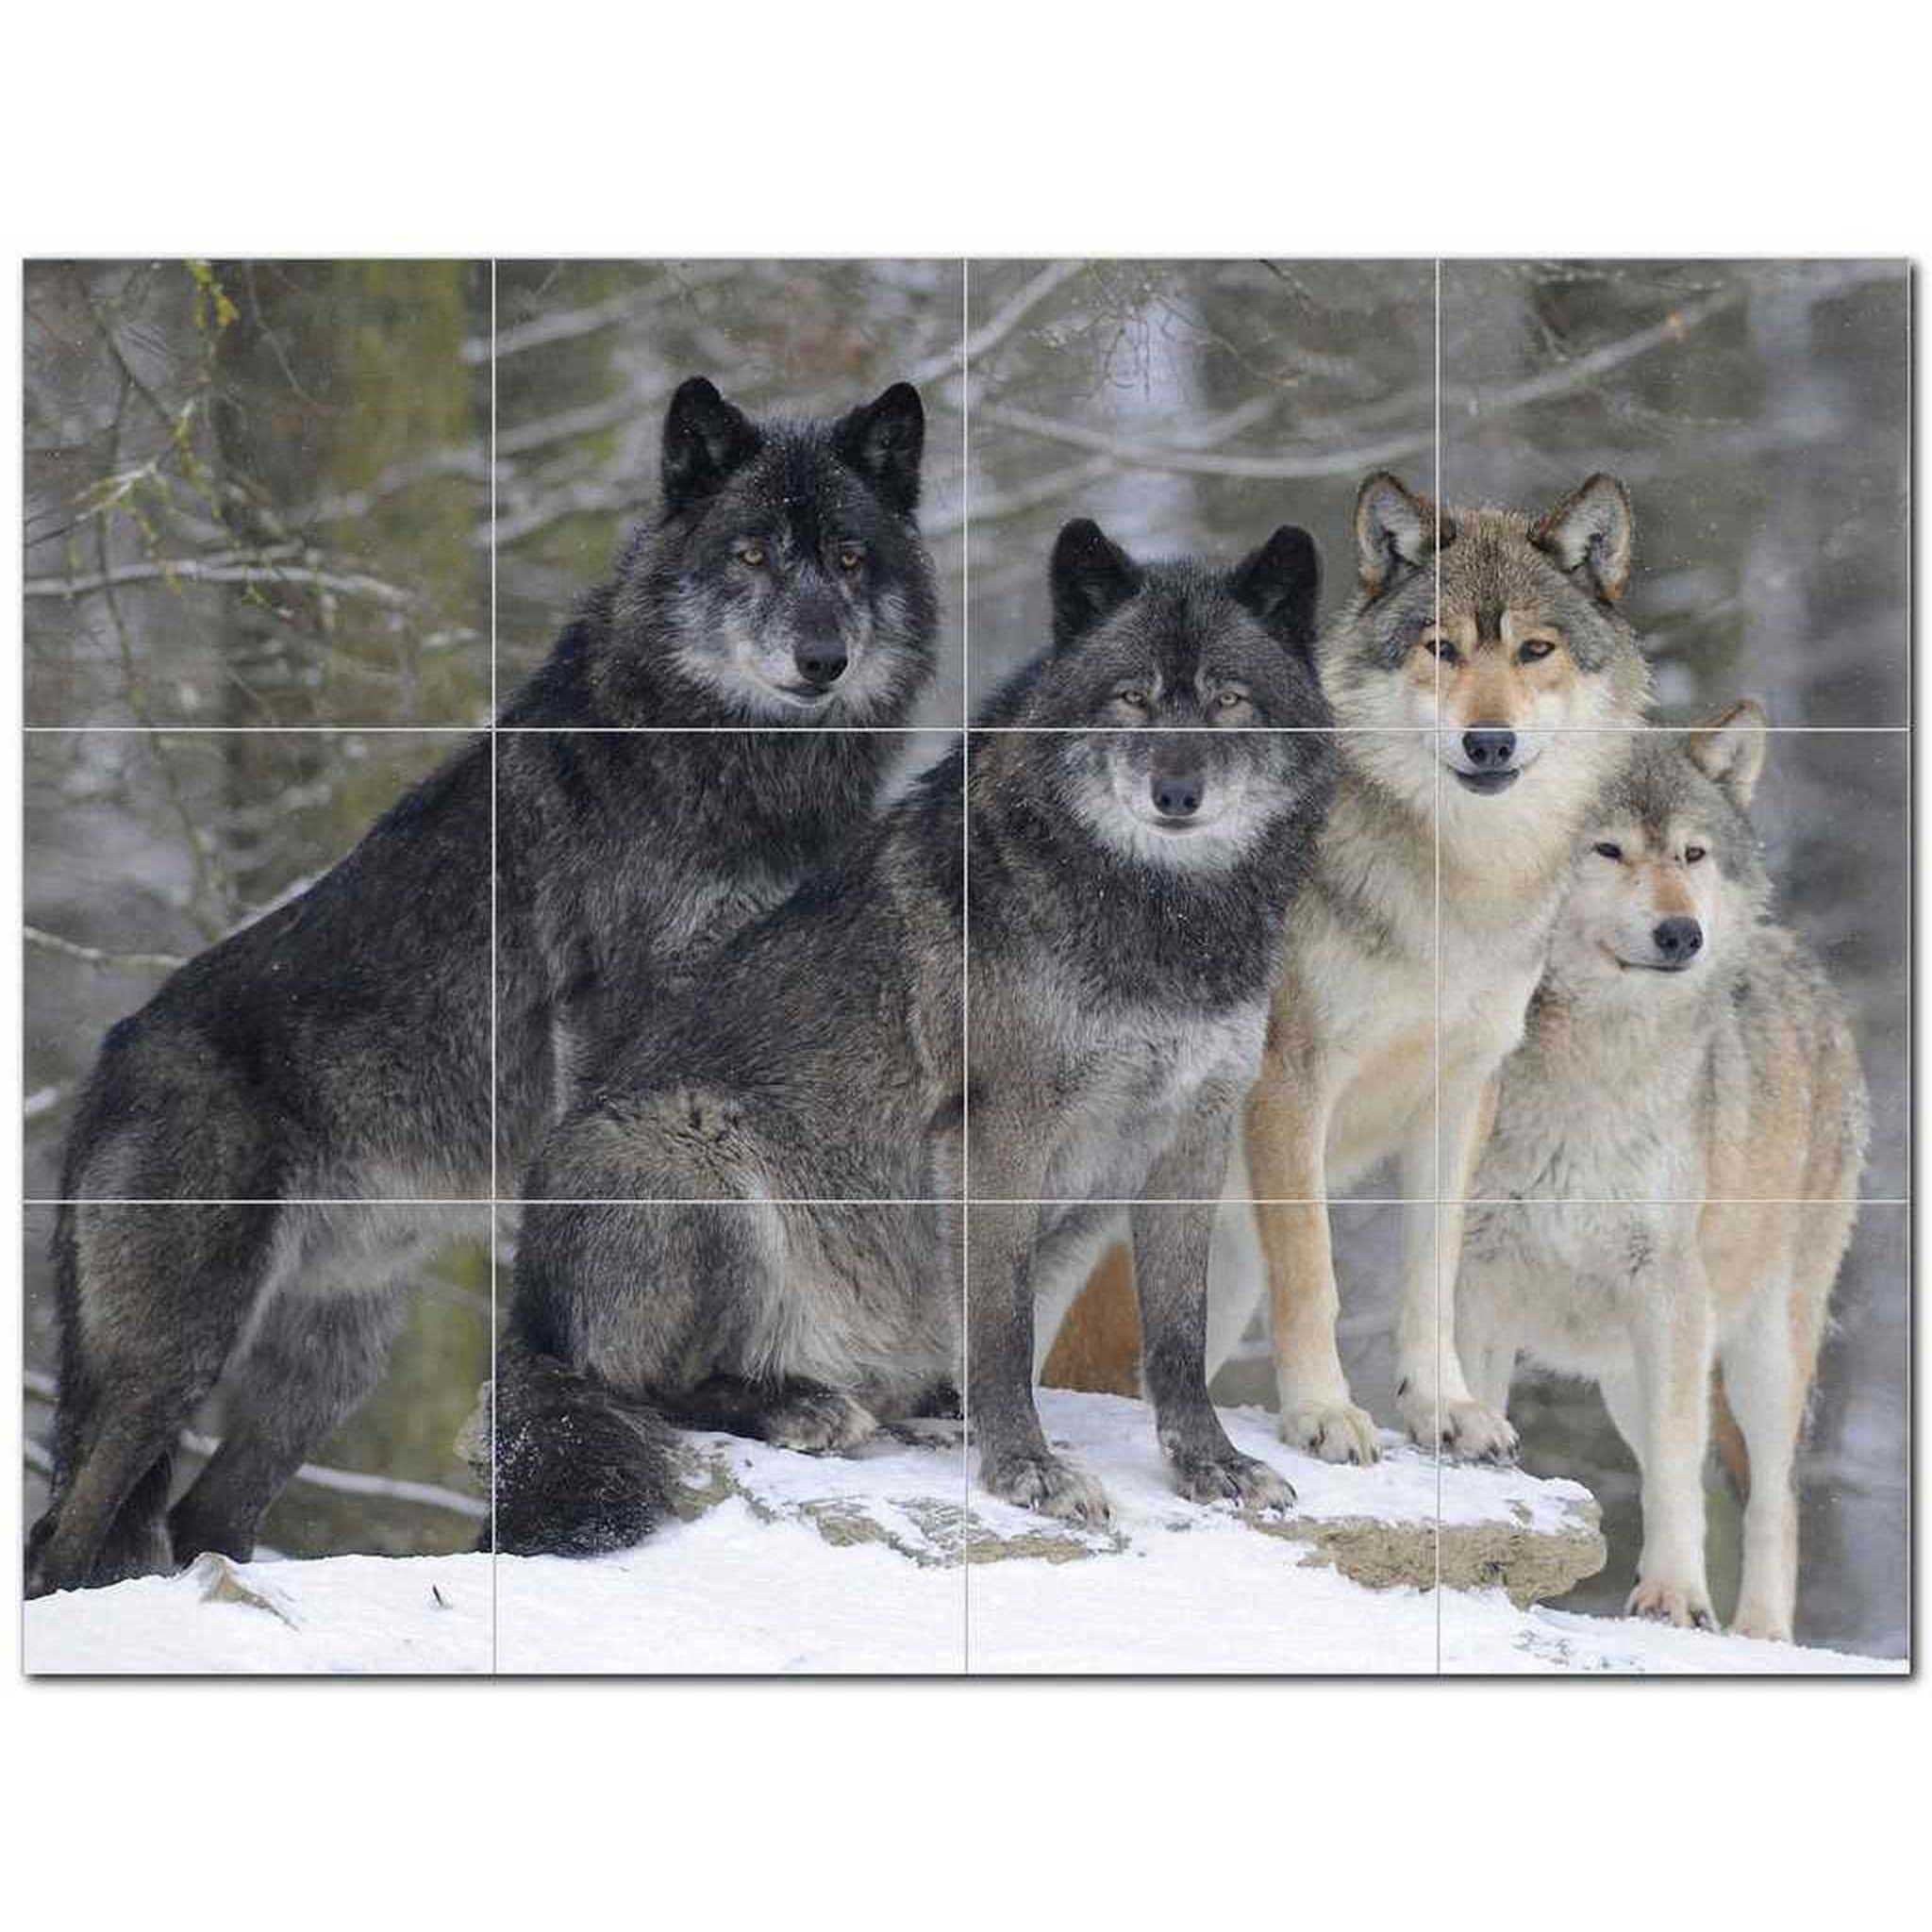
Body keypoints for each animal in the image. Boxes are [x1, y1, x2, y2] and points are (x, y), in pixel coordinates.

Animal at [27, 376, 936, 1598]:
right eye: (749, 553)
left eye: (847, 555)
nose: (820, 657)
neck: (736, 762)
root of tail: (109, 1056)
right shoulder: (615, 1017)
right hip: (172, 1353)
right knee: (69, 1533)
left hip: (329, 1362)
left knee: (203, 1512)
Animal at [491, 516, 1335, 1551]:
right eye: (1131, 697)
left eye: (1227, 699)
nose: (1176, 794)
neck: (1160, 922)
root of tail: (525, 1317)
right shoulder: (995, 1135)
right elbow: (1003, 1328)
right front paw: (1025, 1468)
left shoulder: (1193, 1135)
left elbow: (1176, 1331)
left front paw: (1211, 1464)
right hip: (692, 1149)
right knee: (640, 1386)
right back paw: (802, 1404)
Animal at [1045, 472, 1653, 1466]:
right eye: (1441, 648)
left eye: (1535, 650)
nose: (1489, 743)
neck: (1454, 881)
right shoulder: (1289, 1084)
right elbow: (1314, 1275)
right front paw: (1324, 1414)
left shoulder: (1463, 1093)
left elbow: (1431, 1276)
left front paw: (1445, 1408)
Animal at [1456, 707, 1867, 1639]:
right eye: (1606, 850)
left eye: (1692, 854)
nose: (1683, 934)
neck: (1593, 1072)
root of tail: (1805, 965)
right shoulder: (1476, 1277)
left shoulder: (1670, 1292)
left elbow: (1681, 1474)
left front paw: (1675, 1597)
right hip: (1625, 1375)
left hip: (1758, 1350)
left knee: (1772, 1499)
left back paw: (1759, 1633)